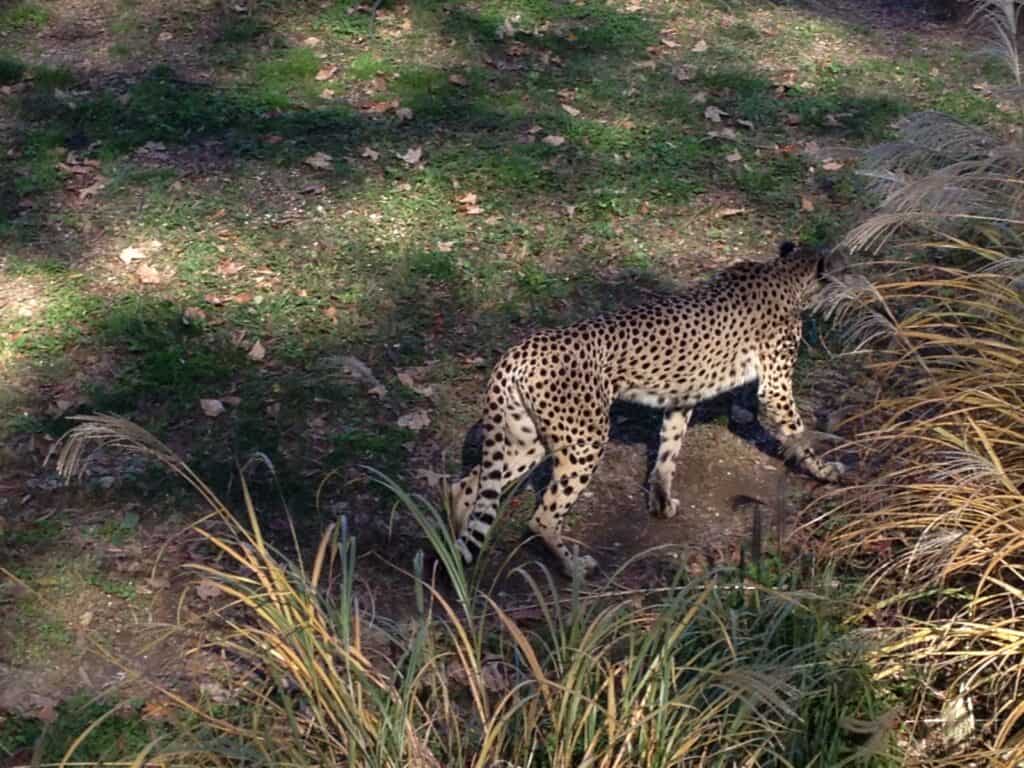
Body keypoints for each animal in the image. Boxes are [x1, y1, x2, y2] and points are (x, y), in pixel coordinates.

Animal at [447, 241, 846, 578]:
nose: (845, 287)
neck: (784, 272)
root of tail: (520, 350)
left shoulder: (681, 398)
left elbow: (669, 450)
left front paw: (660, 501)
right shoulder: (774, 388)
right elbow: (799, 434)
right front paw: (825, 470)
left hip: (526, 439)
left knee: (467, 485)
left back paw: (457, 541)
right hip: (583, 441)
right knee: (542, 516)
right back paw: (573, 567)